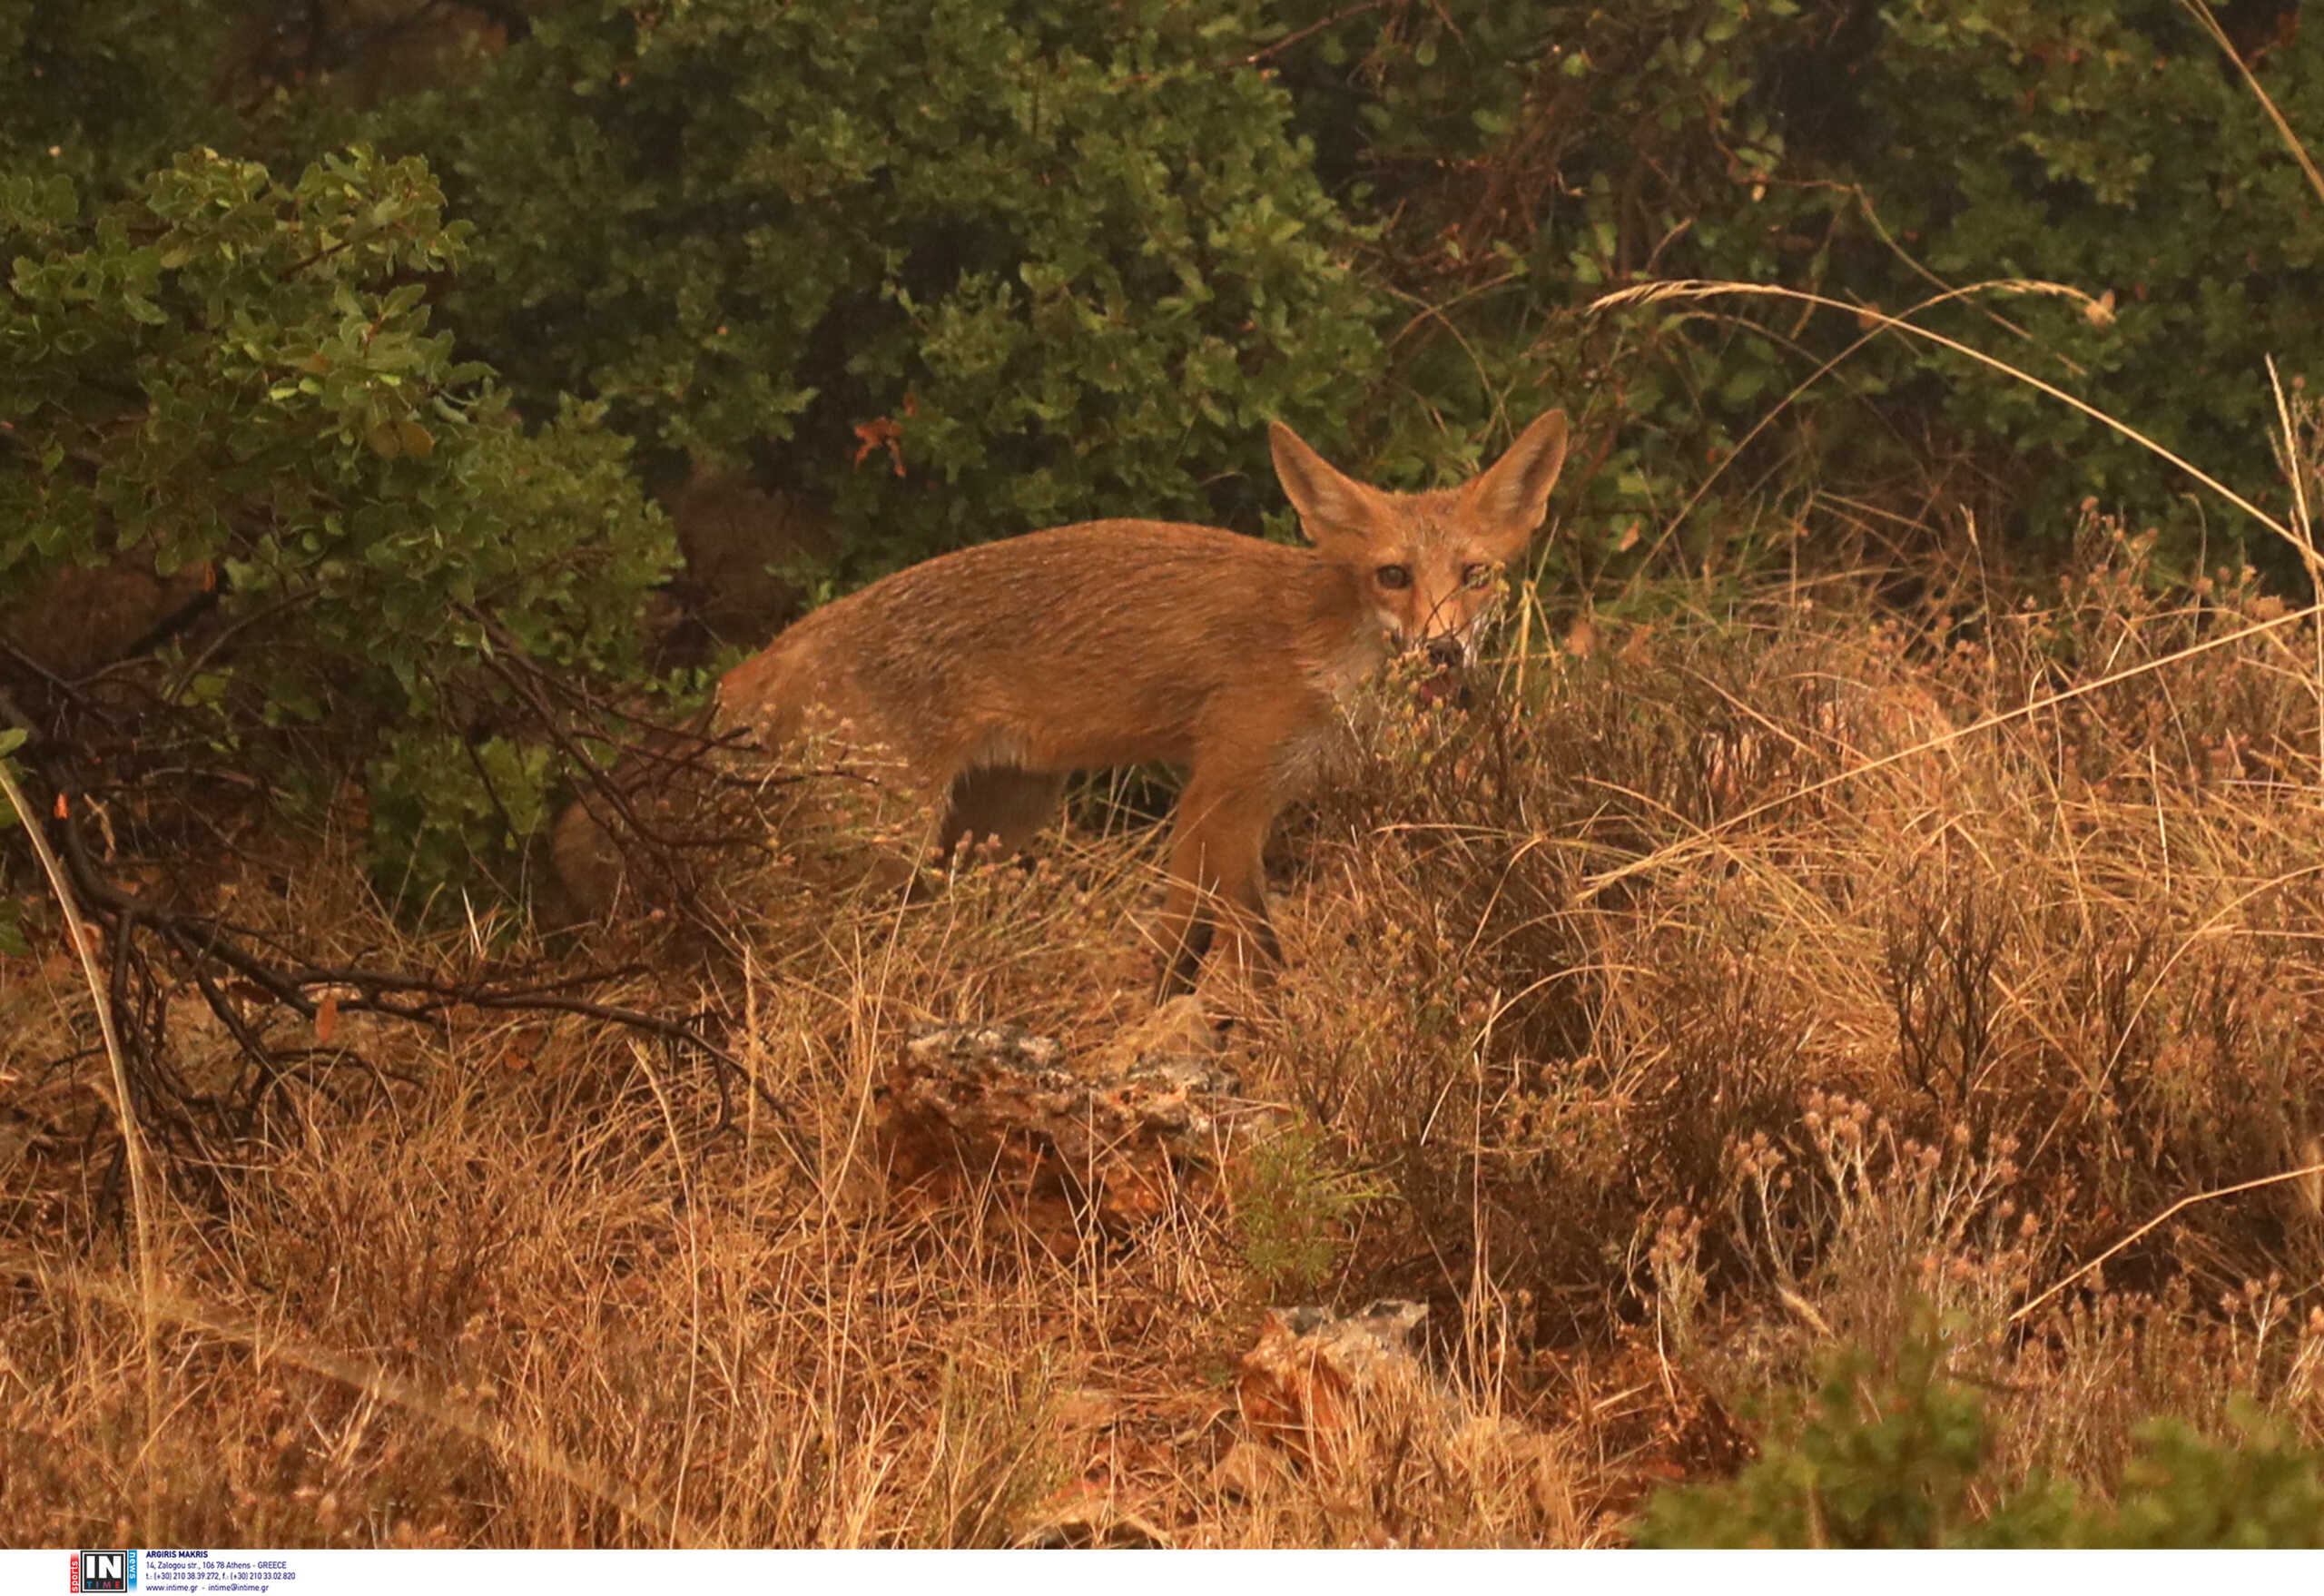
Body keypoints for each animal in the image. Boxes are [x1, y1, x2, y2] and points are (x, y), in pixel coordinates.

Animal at [555, 409, 1571, 999]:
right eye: (1392, 575)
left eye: (1474, 576)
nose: (1442, 648)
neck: (1326, 649)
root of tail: (765, 658)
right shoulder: (1220, 790)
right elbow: (1222, 944)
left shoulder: (1244, 805)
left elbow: (1219, 937)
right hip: (875, 850)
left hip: (994, 824)